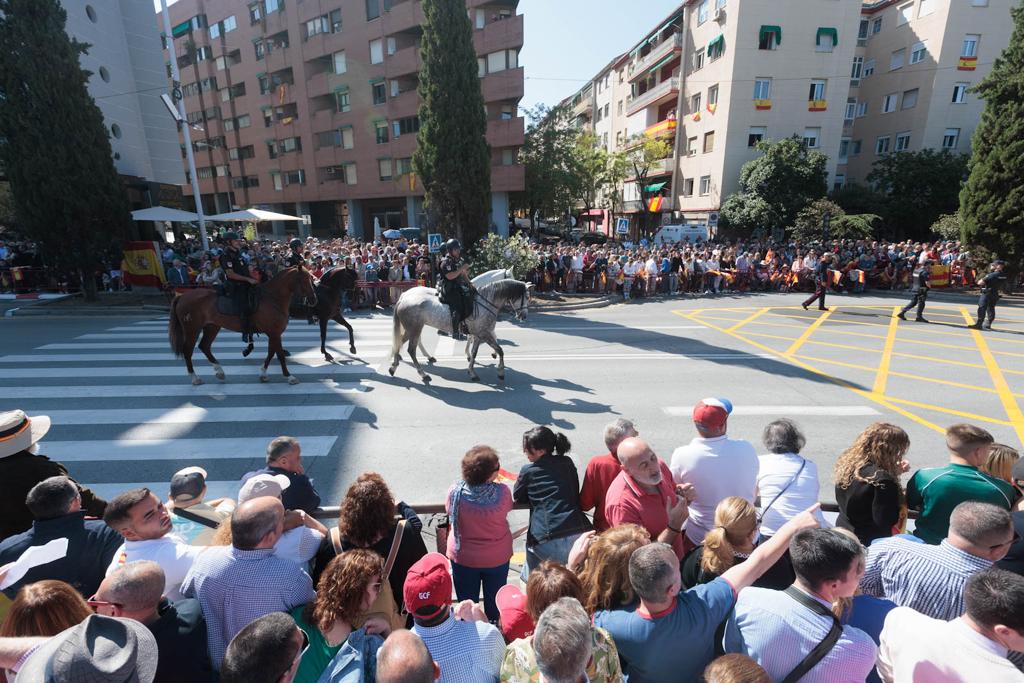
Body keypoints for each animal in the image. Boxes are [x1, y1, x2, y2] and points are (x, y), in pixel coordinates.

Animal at [167, 266, 315, 385]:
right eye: (303, 280)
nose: (314, 300)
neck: (272, 298)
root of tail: (182, 296)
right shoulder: (274, 333)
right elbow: (279, 355)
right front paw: (289, 376)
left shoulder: (273, 333)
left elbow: (271, 352)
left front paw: (263, 374)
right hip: (192, 330)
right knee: (188, 351)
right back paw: (195, 378)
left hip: (212, 327)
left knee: (204, 346)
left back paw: (220, 372)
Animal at [389, 278, 536, 385]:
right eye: (527, 297)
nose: (524, 316)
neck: (485, 302)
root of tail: (403, 297)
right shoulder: (484, 333)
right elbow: (500, 350)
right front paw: (500, 372)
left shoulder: (479, 334)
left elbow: (475, 352)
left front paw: (472, 372)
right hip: (414, 328)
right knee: (410, 349)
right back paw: (423, 374)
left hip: (414, 328)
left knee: (400, 342)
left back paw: (394, 366)